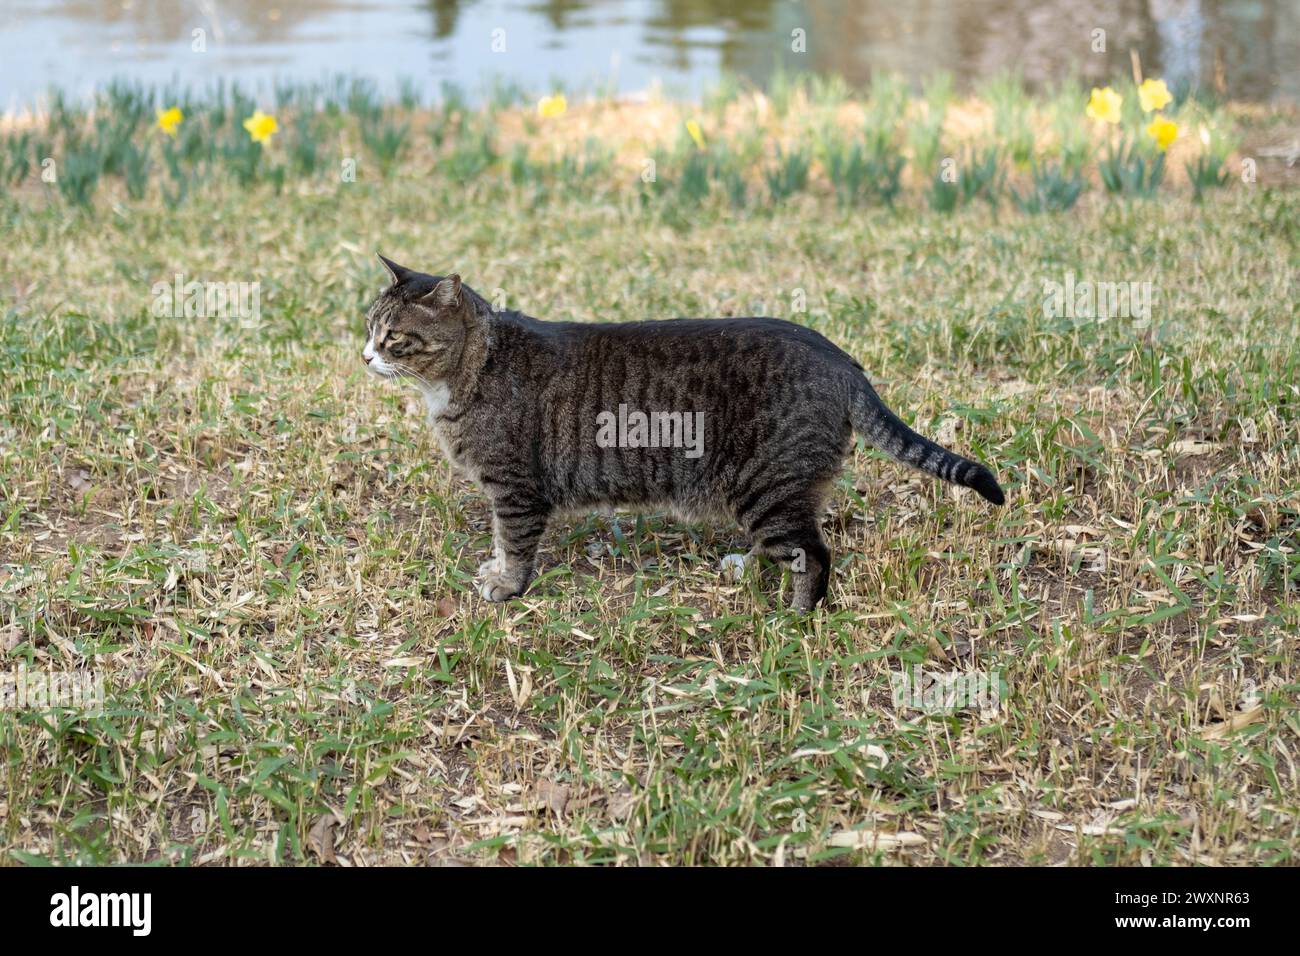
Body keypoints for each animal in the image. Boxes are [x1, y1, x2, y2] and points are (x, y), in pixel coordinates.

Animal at [366, 254, 1003, 608]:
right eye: (368, 326)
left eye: (393, 337)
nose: (365, 356)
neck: (467, 371)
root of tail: (840, 358)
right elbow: (502, 542)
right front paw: (495, 570)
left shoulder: (515, 489)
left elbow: (515, 542)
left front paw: (507, 585)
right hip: (770, 491)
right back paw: (746, 566)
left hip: (767, 483)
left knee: (816, 554)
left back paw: (800, 616)